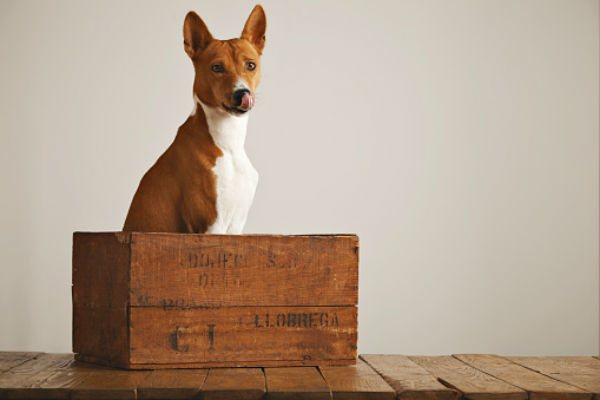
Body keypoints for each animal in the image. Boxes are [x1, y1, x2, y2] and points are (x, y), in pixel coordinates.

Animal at [123, 4, 266, 234]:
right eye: (217, 68)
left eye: (251, 66)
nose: (242, 94)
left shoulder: (236, 224)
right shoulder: (210, 224)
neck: (228, 144)